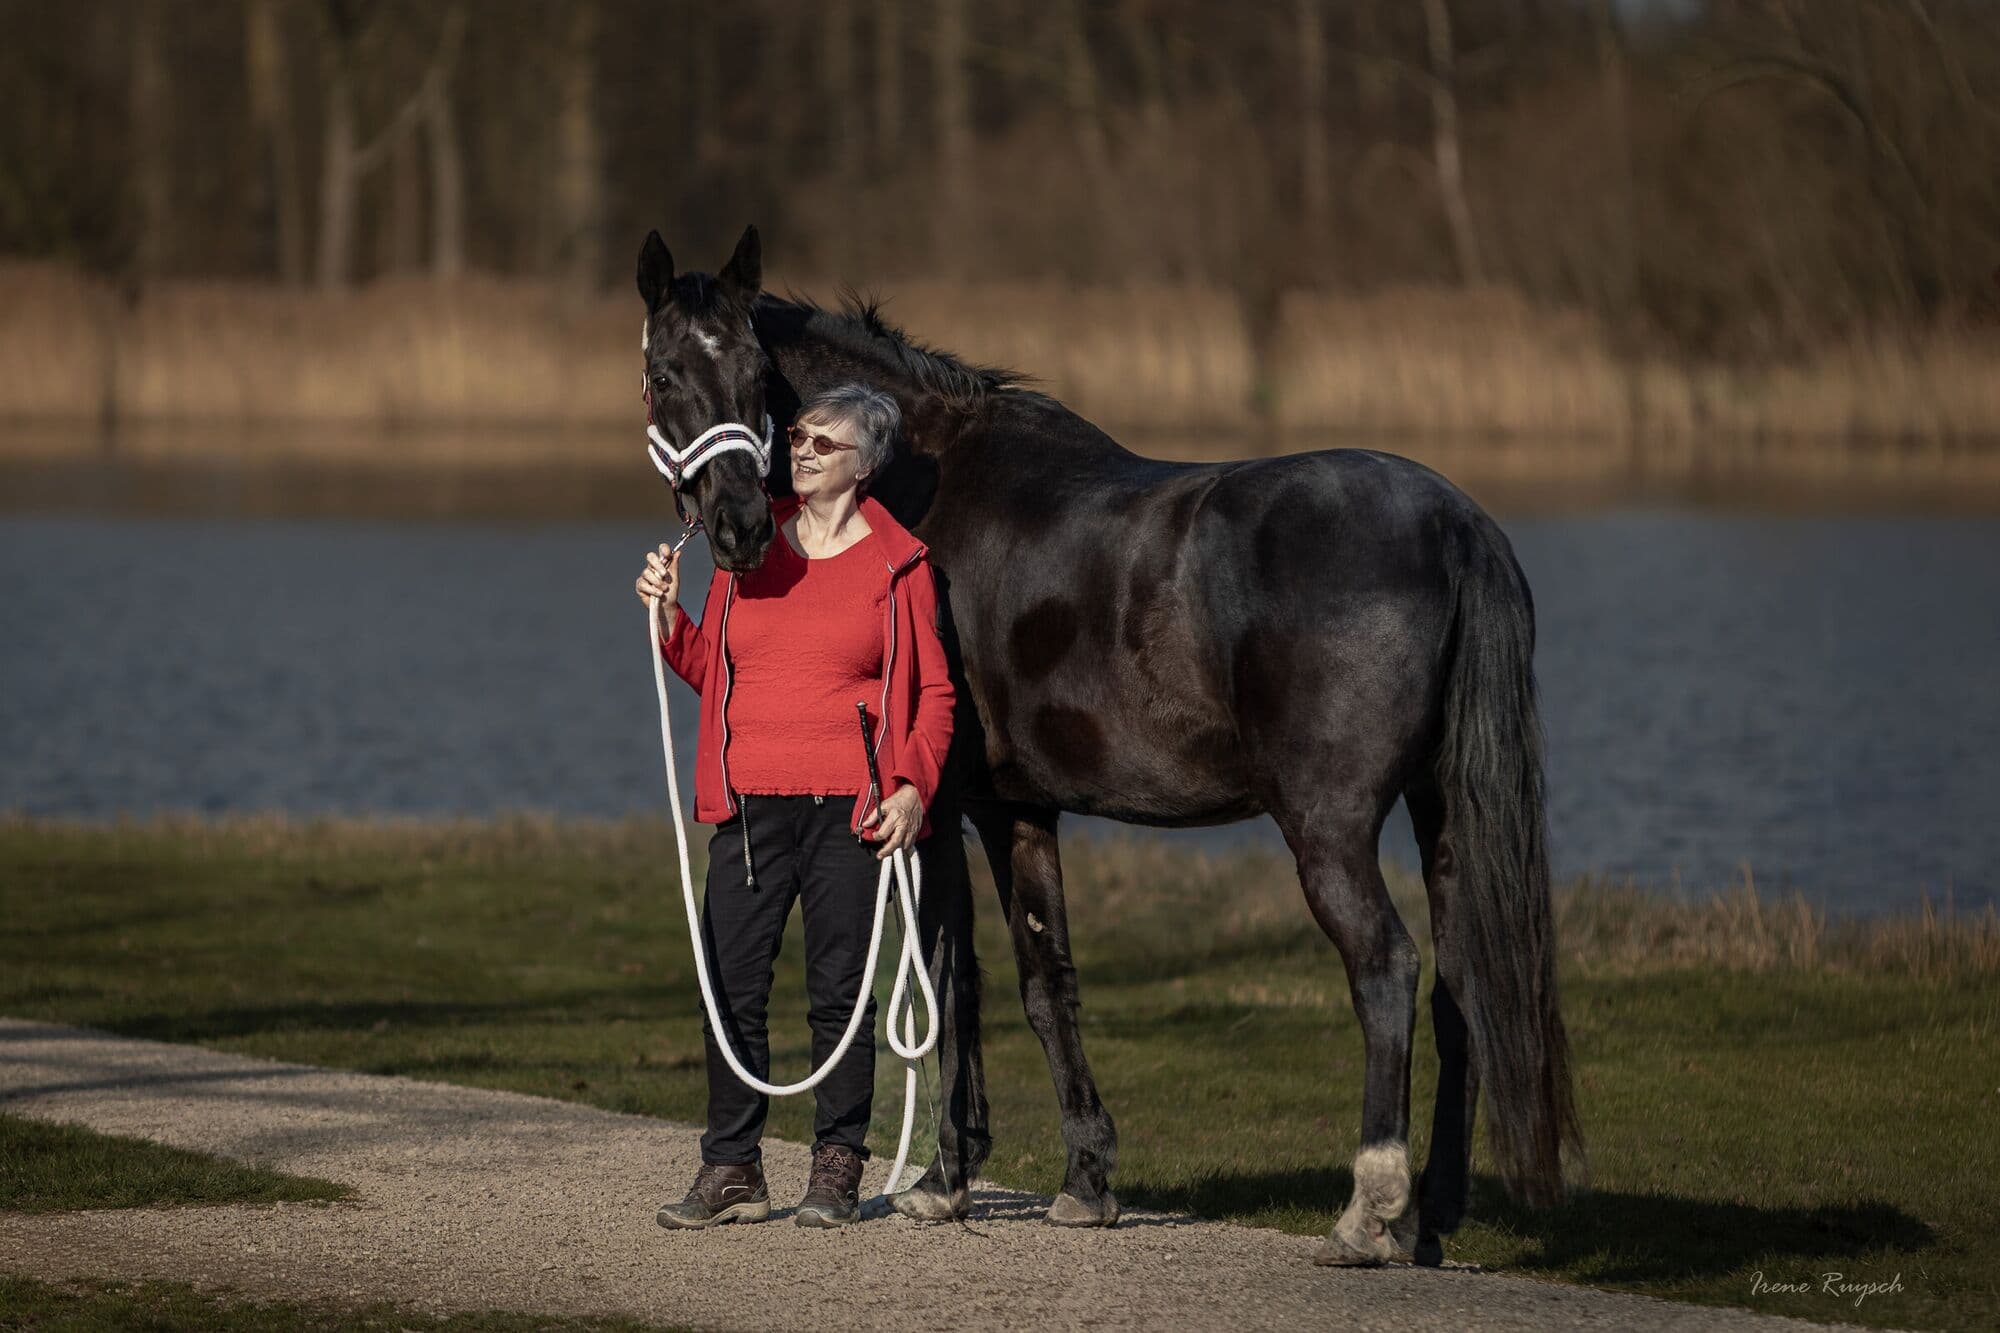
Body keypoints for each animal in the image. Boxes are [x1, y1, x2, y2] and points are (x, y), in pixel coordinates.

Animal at [638, 225, 1584, 1265]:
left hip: (1329, 828)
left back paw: (1370, 1211)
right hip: (1442, 815)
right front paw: (1086, 1179)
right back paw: (1434, 1215)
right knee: (1461, 991)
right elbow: (1045, 980)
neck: (932, 482)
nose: (739, 527)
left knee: (1387, 971)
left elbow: (953, 976)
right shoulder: (1017, 809)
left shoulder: (933, 811)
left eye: (753, 374)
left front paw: (943, 1181)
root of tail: (1454, 523)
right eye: (666, 371)